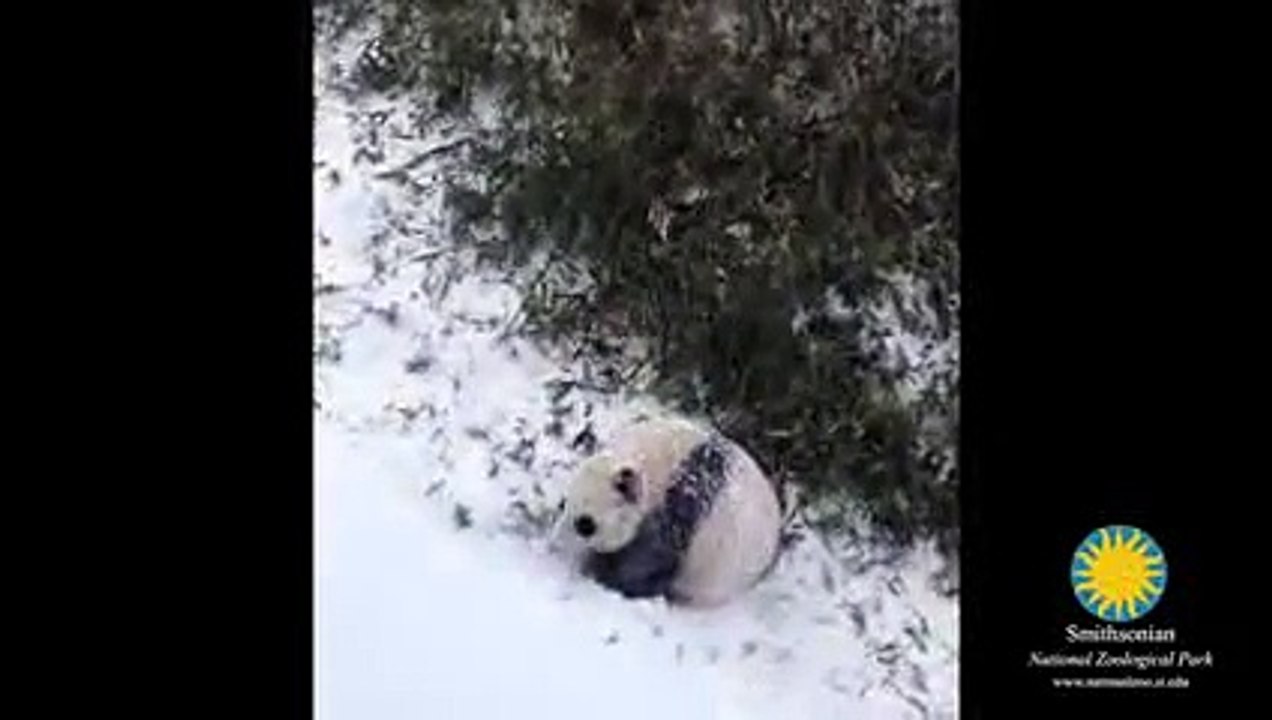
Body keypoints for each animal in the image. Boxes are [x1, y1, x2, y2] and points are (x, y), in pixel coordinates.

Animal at [553, 416, 785, 608]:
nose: (555, 545)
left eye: (585, 524)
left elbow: (647, 561)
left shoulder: (682, 510)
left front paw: (603, 575)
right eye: (562, 504)